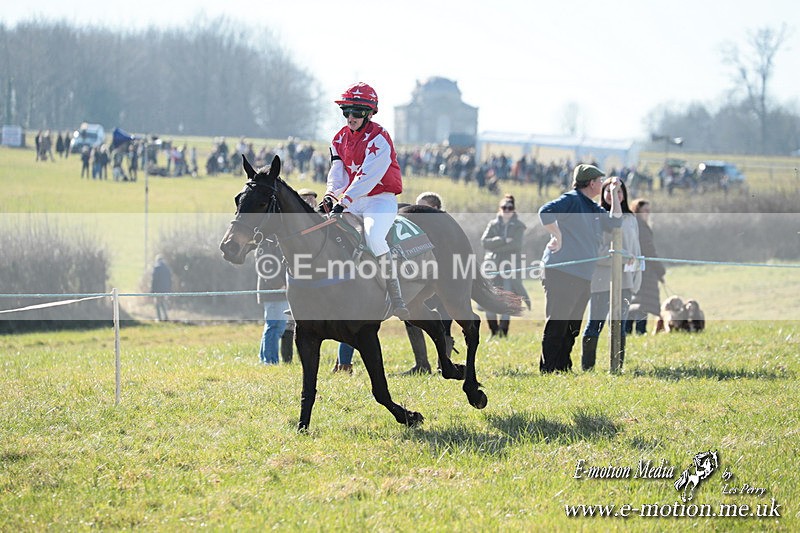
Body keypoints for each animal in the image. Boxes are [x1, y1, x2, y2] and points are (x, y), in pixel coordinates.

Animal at [220, 155, 525, 431]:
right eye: (237, 200)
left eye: (262, 202)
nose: (229, 247)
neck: (322, 264)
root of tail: (444, 216)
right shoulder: (306, 335)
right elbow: (309, 387)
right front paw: (302, 427)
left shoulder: (365, 333)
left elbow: (379, 388)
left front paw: (410, 416)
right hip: (414, 305)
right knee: (436, 326)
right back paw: (453, 370)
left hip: (453, 292)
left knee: (470, 327)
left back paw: (473, 390)